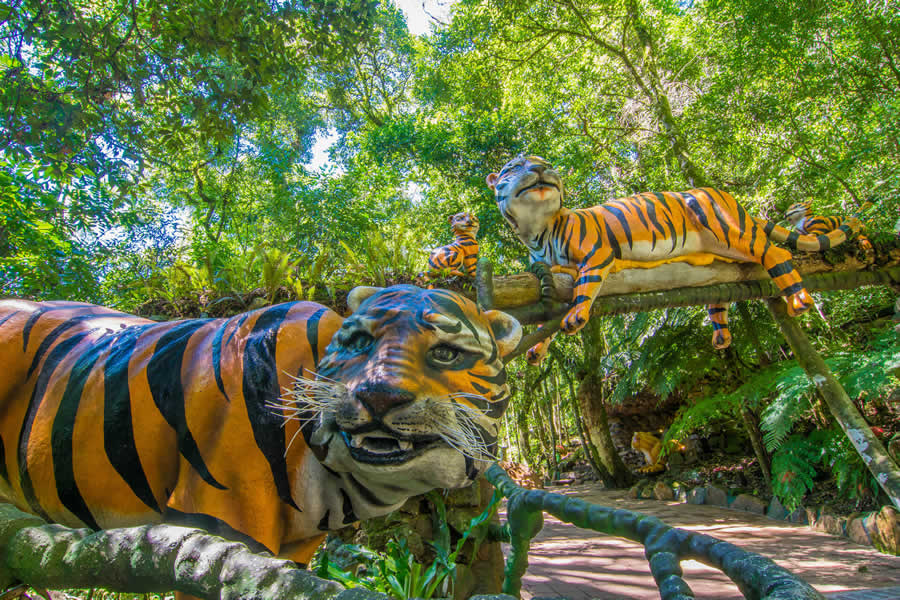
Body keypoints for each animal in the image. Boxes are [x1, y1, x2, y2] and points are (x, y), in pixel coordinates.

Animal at [486, 155, 856, 360]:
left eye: (546, 164)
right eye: (514, 166)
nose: (541, 168)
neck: (538, 229)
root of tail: (727, 196)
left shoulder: (597, 253)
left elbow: (585, 287)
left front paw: (576, 316)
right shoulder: (554, 275)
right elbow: (549, 313)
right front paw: (536, 349)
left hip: (729, 228)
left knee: (776, 253)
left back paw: (799, 301)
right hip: (718, 255)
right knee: (719, 293)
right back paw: (721, 337)